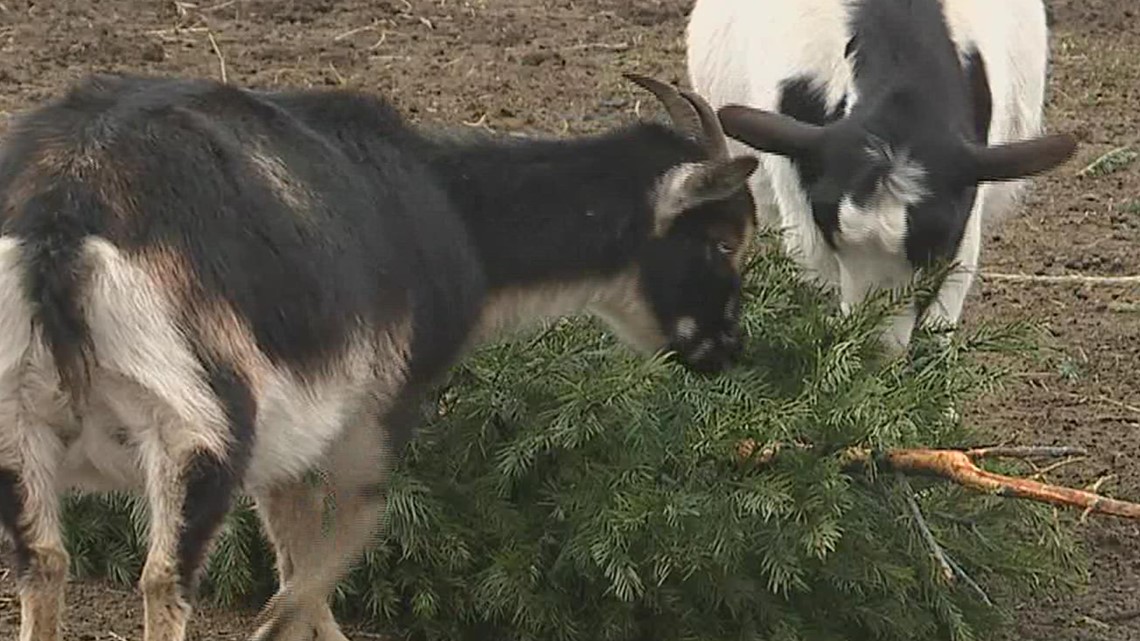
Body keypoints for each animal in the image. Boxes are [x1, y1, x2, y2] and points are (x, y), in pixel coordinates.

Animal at [0, 71, 759, 641]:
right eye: (724, 240)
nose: (728, 350)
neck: (453, 211)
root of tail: (60, 223)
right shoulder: (381, 403)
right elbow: (358, 523)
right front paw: (277, 627)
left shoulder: (292, 433)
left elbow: (296, 544)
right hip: (197, 421)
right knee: (163, 576)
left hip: (21, 422)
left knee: (44, 561)